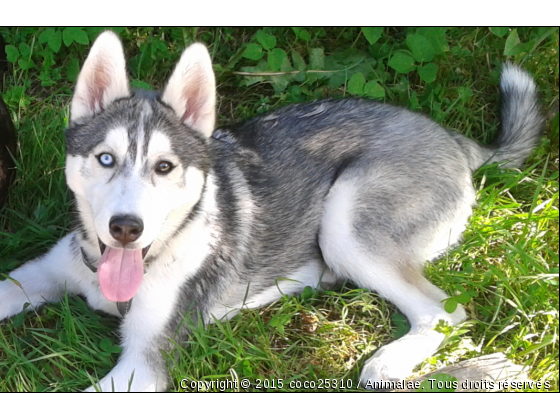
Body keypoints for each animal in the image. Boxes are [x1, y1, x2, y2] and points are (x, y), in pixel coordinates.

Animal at [1, 31, 544, 392]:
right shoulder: (43, 272)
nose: (126, 229)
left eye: (164, 166)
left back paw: (390, 360)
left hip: (345, 223)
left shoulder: (143, 365)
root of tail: (453, 138)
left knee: (444, 310)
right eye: (105, 159)